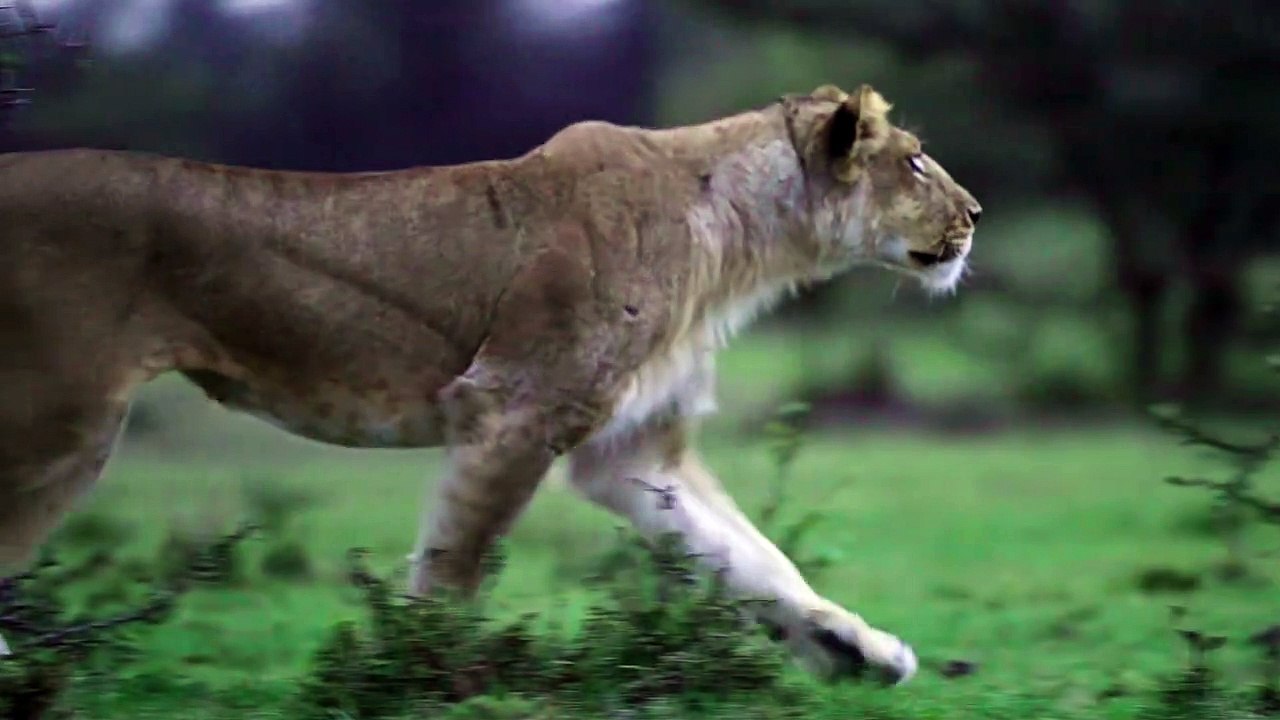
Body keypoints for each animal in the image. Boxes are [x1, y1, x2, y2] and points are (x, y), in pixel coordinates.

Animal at [0, 83, 980, 682]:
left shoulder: (630, 448)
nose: (975, 213)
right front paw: (415, 685)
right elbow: (452, 575)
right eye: (915, 161)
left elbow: (752, 558)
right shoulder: (515, 407)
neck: (737, 245)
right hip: (58, 428)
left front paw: (858, 652)